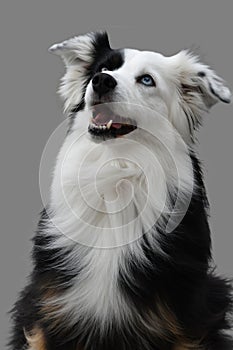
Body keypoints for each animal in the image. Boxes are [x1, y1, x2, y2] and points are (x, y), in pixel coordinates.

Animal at [9, 31, 233, 348]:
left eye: (147, 80)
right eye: (103, 68)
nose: (101, 81)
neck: (116, 170)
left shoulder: (184, 322)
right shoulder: (47, 308)